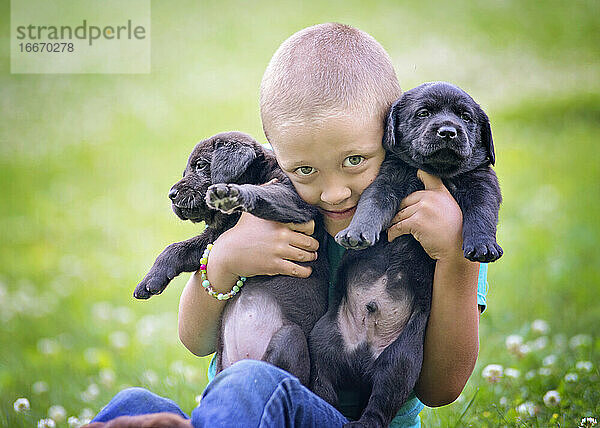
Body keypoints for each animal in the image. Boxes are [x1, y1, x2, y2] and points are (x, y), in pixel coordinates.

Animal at [133, 131, 328, 384]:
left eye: (200, 165)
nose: (171, 195)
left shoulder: (296, 200)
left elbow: (266, 193)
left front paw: (233, 193)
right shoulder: (215, 237)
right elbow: (177, 249)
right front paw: (150, 280)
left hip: (290, 337)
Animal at [310, 82, 502, 426]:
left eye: (466, 117)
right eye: (423, 113)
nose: (448, 131)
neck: (435, 172)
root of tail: (362, 358)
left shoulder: (483, 183)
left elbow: (481, 213)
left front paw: (483, 245)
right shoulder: (387, 180)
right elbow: (371, 206)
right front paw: (357, 233)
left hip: (401, 362)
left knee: (380, 404)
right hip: (323, 344)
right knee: (325, 385)